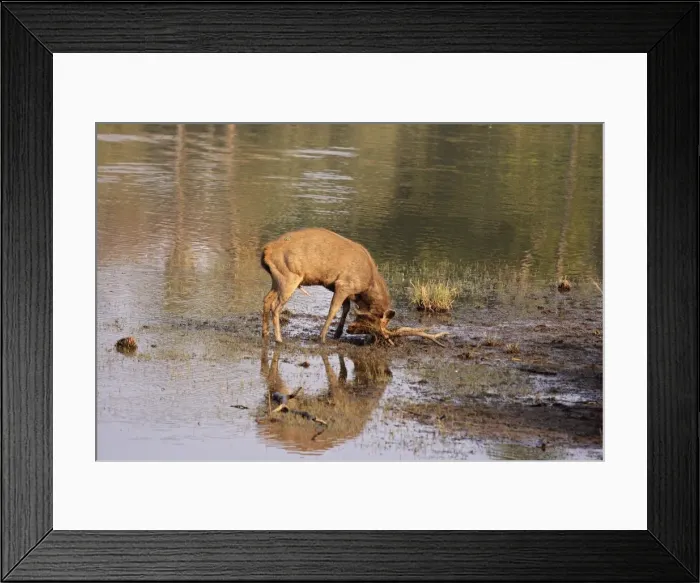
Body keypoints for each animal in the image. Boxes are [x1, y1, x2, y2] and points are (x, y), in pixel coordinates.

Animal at [260, 228, 395, 344]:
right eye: (373, 321)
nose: (373, 339)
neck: (368, 285)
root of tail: (266, 250)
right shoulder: (344, 285)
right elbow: (334, 309)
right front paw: (322, 337)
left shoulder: (341, 287)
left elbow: (346, 308)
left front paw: (337, 334)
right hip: (290, 277)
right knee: (275, 306)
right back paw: (279, 339)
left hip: (277, 279)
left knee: (267, 299)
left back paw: (265, 333)